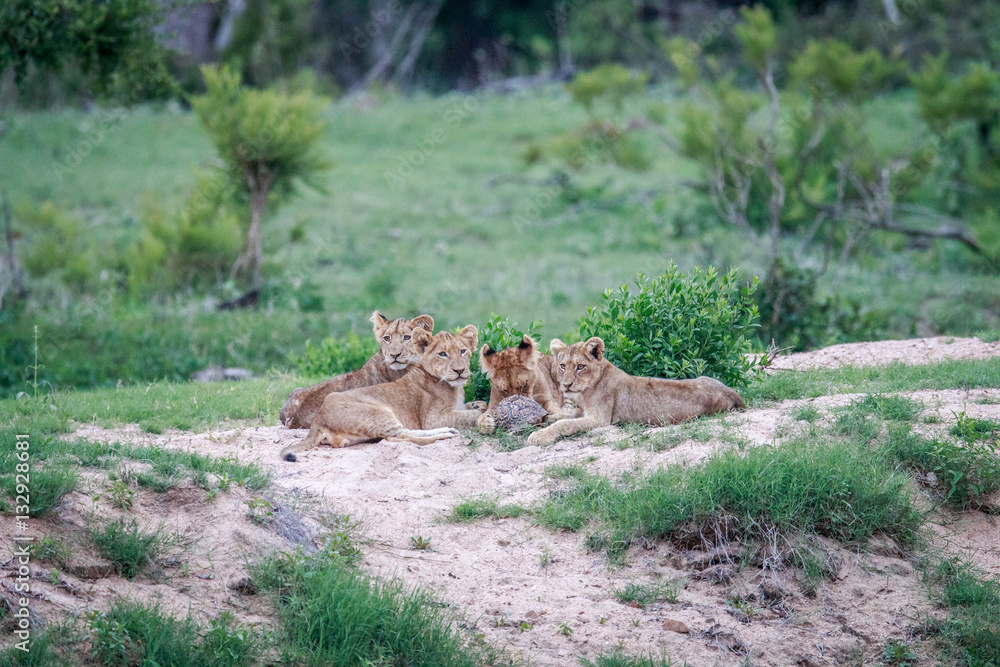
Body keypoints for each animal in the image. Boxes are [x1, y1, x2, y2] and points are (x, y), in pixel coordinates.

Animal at [280, 325, 485, 461]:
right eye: (442, 354)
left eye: (463, 351)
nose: (460, 370)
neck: (455, 387)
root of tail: (318, 420)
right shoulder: (432, 417)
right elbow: (466, 416)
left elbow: (472, 407)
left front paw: (478, 405)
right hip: (380, 412)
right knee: (400, 436)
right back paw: (445, 434)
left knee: (403, 432)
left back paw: (447, 431)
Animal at [525, 337, 744, 447]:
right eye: (562, 366)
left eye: (580, 367)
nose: (567, 385)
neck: (585, 392)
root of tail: (733, 394)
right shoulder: (583, 410)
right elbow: (566, 415)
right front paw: (548, 418)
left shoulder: (600, 419)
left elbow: (565, 424)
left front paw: (539, 436)